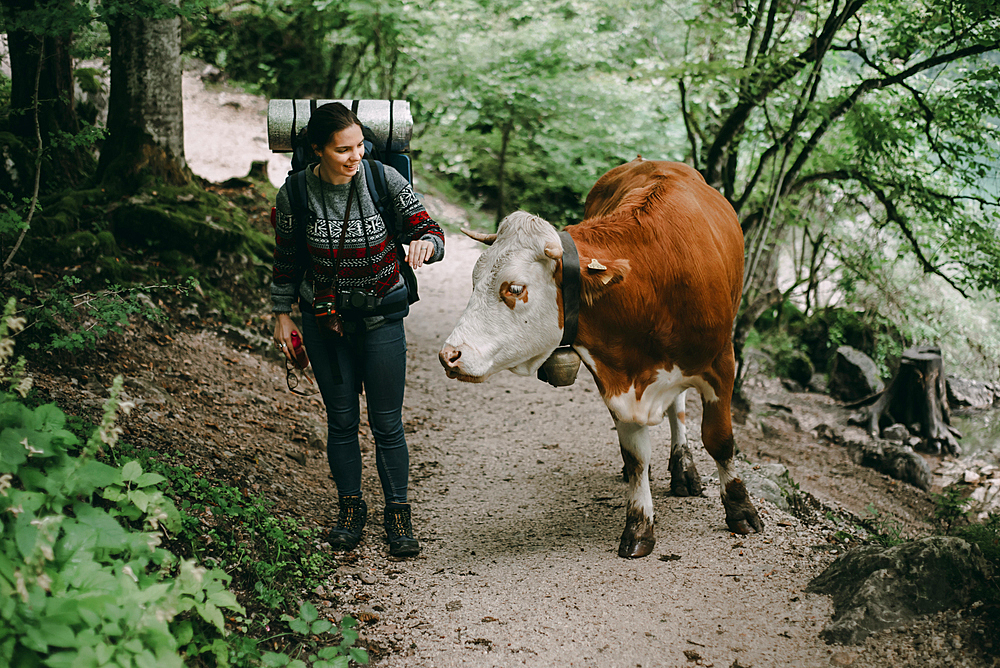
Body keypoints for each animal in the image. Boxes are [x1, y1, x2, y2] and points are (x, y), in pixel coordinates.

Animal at [440, 158, 764, 560]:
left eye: (514, 288)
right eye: (474, 279)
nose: (449, 355)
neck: (652, 287)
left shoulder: (722, 361)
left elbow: (719, 440)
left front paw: (740, 510)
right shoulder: (615, 376)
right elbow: (636, 456)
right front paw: (639, 525)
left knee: (680, 410)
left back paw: (684, 469)